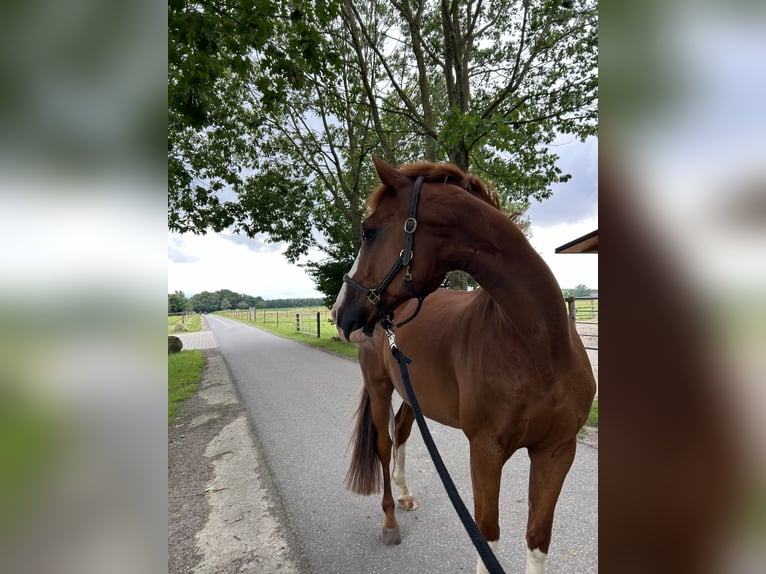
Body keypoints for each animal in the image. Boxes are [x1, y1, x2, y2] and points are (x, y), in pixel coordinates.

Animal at [332, 158, 596, 574]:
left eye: (368, 231)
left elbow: (537, 538)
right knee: (384, 445)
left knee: (401, 430)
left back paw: (405, 494)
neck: (538, 345)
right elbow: (487, 536)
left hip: (413, 393)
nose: (341, 313)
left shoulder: (557, 451)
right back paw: (390, 520)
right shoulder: (485, 451)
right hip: (379, 387)